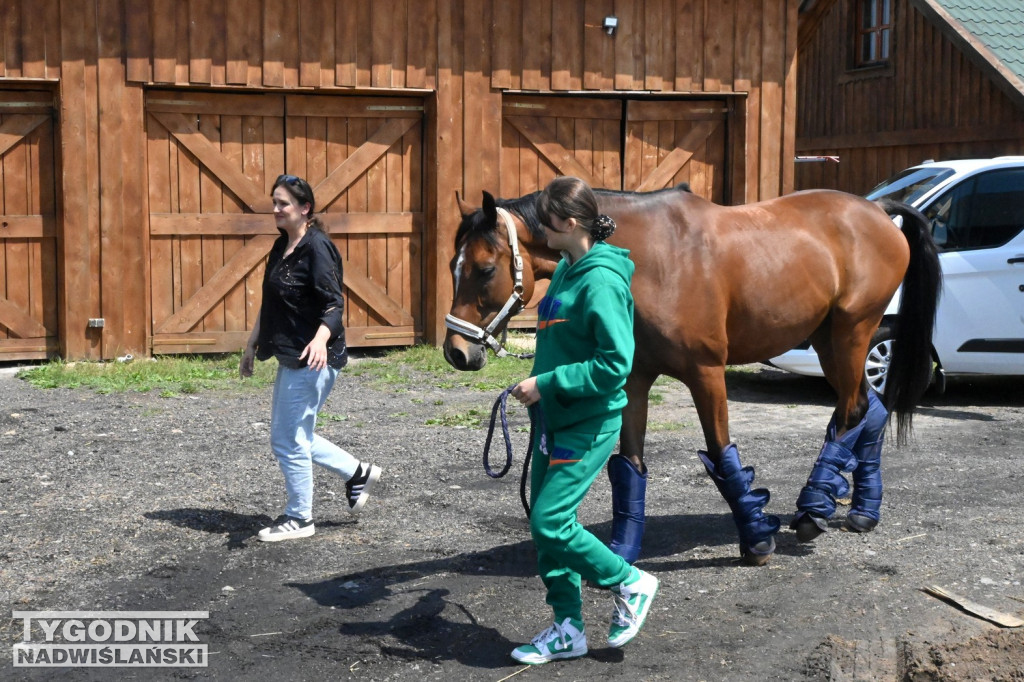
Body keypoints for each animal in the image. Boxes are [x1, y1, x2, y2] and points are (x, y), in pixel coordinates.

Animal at [444, 183, 937, 565]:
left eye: (485, 269)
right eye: (454, 266)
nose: (456, 352)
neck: (652, 260)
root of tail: (878, 209)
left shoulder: (707, 374)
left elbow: (722, 454)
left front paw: (756, 540)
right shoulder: (634, 381)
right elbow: (630, 464)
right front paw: (623, 551)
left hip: (852, 335)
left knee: (852, 412)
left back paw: (812, 511)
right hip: (827, 342)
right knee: (868, 411)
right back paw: (861, 511)